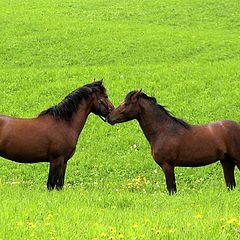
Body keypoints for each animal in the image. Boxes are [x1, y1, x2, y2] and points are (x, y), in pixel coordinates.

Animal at [108, 91, 240, 194]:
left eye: (126, 103)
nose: (109, 117)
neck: (163, 131)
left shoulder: (167, 166)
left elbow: (171, 189)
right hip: (226, 162)